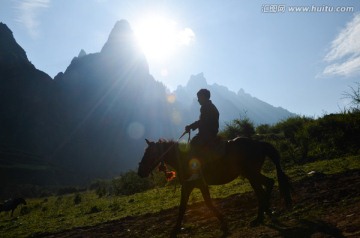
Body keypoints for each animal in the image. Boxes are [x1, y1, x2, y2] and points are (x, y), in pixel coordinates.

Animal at [138, 137, 292, 235]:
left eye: (149, 153)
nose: (140, 171)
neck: (184, 158)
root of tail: (258, 143)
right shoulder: (190, 186)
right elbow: (182, 207)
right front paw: (176, 229)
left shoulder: (197, 184)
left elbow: (207, 203)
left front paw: (223, 222)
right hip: (251, 174)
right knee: (267, 185)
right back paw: (265, 213)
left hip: (251, 173)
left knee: (263, 189)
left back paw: (260, 217)